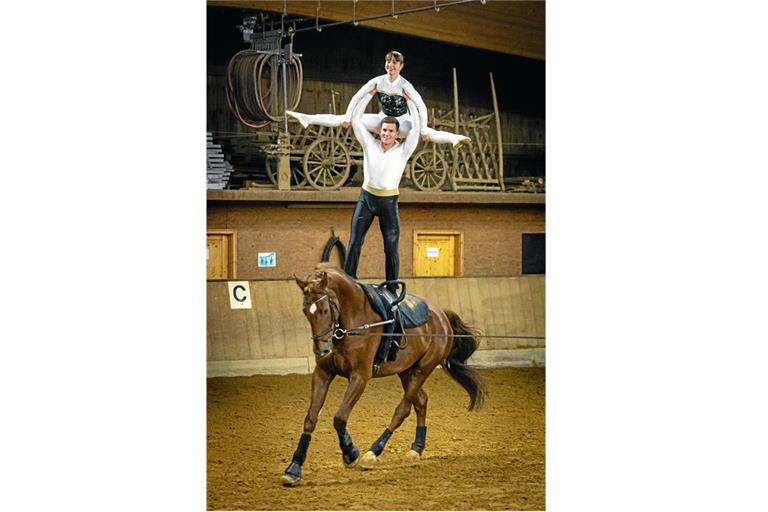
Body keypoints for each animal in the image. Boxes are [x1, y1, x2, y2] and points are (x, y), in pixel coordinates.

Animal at [282, 266, 486, 486]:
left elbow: (339, 418)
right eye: (305, 311)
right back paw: (416, 449)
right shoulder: (323, 373)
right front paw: (294, 467)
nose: (322, 350)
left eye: (324, 310)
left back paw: (373, 452)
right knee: (421, 401)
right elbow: (310, 418)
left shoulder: (360, 377)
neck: (353, 321)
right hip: (406, 371)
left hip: (423, 369)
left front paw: (351, 453)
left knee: (403, 409)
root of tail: (442, 315)